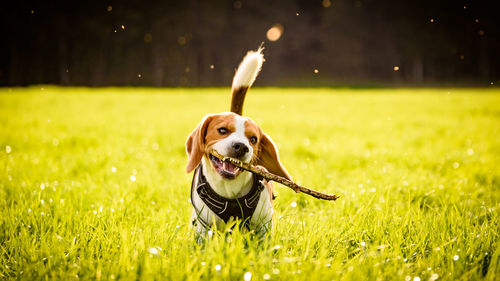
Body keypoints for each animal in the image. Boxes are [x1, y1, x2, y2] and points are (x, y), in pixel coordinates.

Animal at [186, 49, 292, 237]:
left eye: (253, 139)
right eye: (222, 130)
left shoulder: (263, 225)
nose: (241, 147)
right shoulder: (204, 227)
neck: (229, 190)